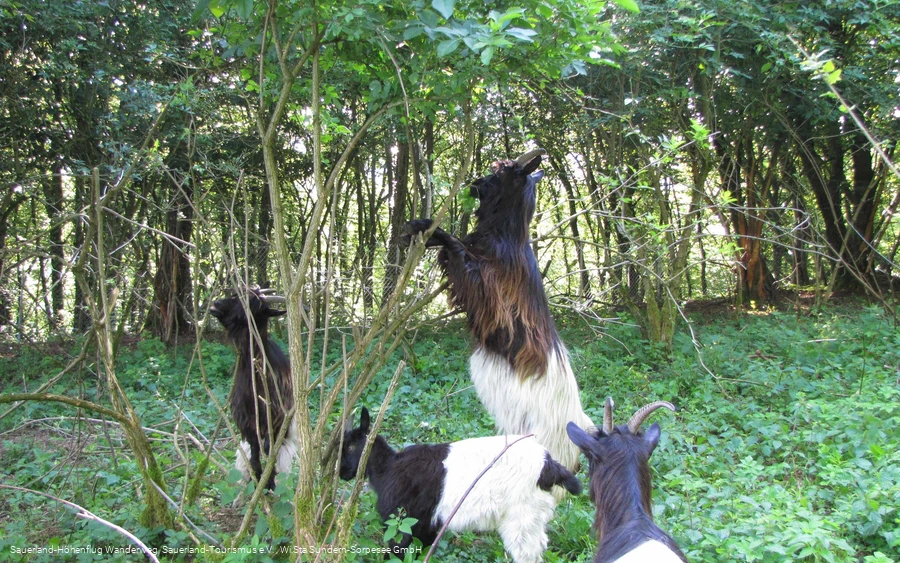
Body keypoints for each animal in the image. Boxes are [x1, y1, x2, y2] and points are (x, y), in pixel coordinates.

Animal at [209, 287, 297, 490]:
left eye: (254, 305)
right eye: (236, 294)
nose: (216, 304)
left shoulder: (277, 420)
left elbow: (269, 450)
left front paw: (269, 481)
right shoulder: (246, 421)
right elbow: (255, 450)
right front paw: (257, 479)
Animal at [340, 407, 581, 562]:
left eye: (350, 446)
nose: (342, 473)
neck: (388, 467)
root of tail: (549, 465)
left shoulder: (401, 522)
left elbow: (395, 553)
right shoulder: (426, 526)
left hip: (521, 517)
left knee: (527, 554)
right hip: (533, 518)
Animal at [405, 149, 594, 472]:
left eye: (504, 171)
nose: (475, 183)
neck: (507, 239)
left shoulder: (489, 292)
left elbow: (457, 248)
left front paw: (431, 228)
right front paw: (416, 228)